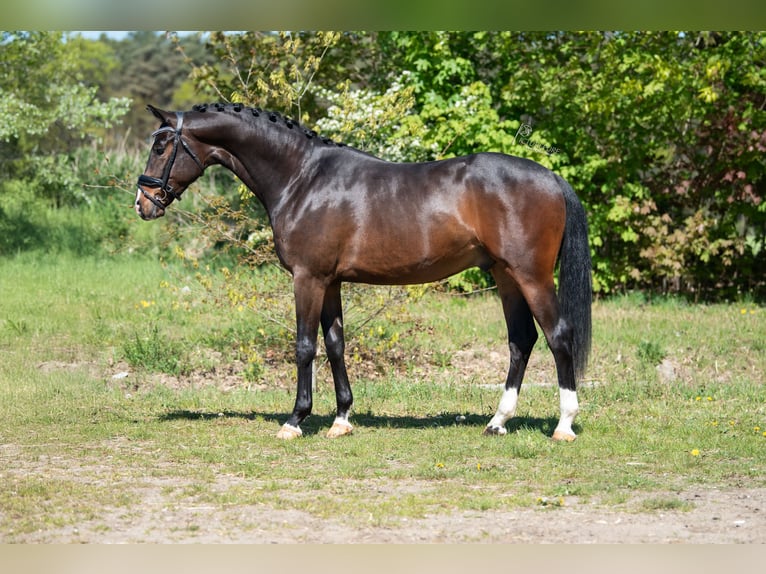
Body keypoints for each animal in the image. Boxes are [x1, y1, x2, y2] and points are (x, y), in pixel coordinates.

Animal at [135, 103, 592, 442]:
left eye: (161, 147)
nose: (142, 203)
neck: (302, 177)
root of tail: (552, 177)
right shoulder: (331, 282)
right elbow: (336, 344)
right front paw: (341, 419)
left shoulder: (308, 278)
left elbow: (305, 346)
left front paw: (295, 420)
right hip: (504, 276)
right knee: (521, 341)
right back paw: (497, 422)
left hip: (531, 276)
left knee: (558, 336)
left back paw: (564, 425)